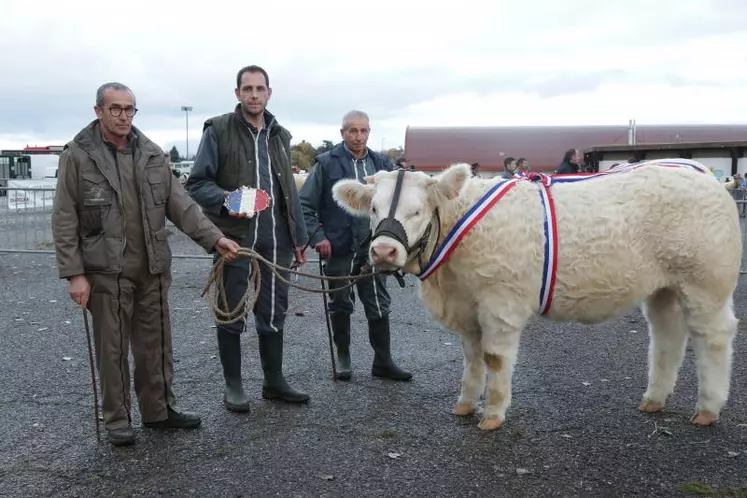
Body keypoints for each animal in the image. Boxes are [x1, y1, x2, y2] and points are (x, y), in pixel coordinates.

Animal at [332, 161, 744, 430]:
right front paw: (464, 405)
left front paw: (492, 416)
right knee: (667, 337)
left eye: (417, 211)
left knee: (714, 338)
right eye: (373, 208)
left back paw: (708, 408)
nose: (384, 251)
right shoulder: (468, 307)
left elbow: (494, 359)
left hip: (706, 284)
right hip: (663, 288)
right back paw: (654, 400)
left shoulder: (500, 302)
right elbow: (472, 359)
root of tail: (707, 177)